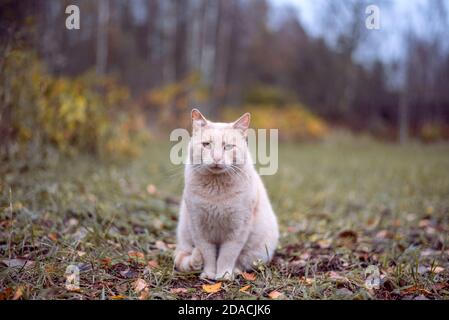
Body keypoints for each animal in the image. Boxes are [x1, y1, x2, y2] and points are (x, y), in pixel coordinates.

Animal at [173, 109, 278, 278]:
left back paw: (235, 271)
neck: (216, 190)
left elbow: (227, 255)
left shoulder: (238, 229)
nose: (217, 158)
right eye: (206, 145)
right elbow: (208, 254)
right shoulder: (199, 228)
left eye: (228, 147)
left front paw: (223, 275)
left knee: (242, 262)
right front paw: (209, 274)